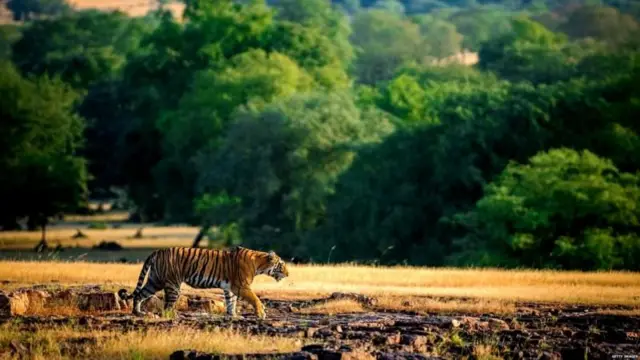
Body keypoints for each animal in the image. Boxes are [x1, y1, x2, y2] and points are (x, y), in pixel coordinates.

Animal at [118, 246, 290, 320]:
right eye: (281, 264)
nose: (288, 274)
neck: (259, 264)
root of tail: (157, 251)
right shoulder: (241, 286)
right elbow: (256, 299)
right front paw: (261, 313)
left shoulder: (230, 288)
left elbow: (231, 302)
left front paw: (233, 315)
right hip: (172, 285)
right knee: (166, 307)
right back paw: (172, 315)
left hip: (155, 281)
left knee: (139, 295)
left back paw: (138, 313)